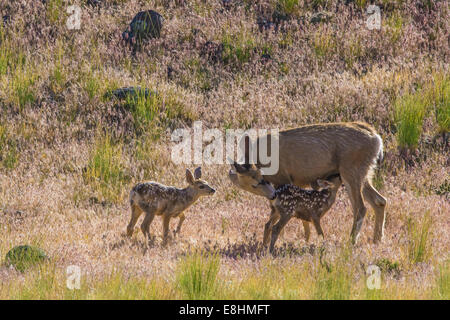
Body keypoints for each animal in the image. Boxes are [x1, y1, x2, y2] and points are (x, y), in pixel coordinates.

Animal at [229, 121, 386, 244]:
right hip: (364, 173)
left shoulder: (284, 179)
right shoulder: (298, 183)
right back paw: (377, 240)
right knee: (380, 201)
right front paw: (306, 239)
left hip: (351, 171)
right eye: (253, 185)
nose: (271, 195)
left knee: (361, 207)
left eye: (257, 181)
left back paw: (351, 241)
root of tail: (377, 138)